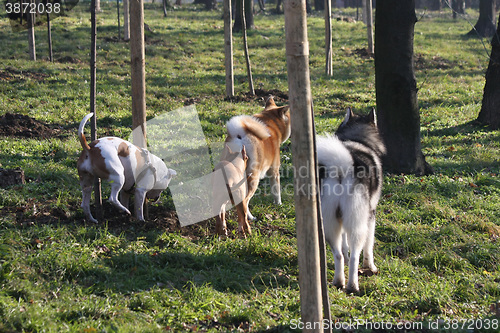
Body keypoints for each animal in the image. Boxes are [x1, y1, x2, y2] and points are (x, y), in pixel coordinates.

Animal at [225, 95, 292, 223]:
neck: (271, 124)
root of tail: (239, 136)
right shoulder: (274, 172)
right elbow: (276, 191)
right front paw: (279, 204)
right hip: (252, 178)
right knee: (244, 201)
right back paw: (250, 217)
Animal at [316, 107, 386, 292]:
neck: (356, 139)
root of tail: (342, 167)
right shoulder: (371, 215)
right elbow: (369, 246)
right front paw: (371, 267)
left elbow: (344, 245)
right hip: (357, 224)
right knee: (356, 255)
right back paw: (353, 285)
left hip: (330, 225)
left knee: (338, 254)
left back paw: (339, 281)